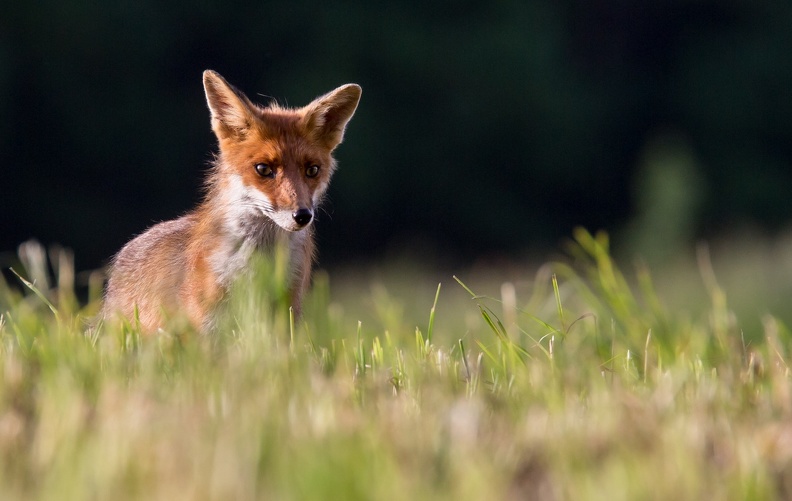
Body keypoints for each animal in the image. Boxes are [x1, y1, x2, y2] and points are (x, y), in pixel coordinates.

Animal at [103, 70, 361, 332]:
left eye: (312, 170)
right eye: (263, 169)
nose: (302, 216)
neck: (259, 264)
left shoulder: (286, 313)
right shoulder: (207, 323)